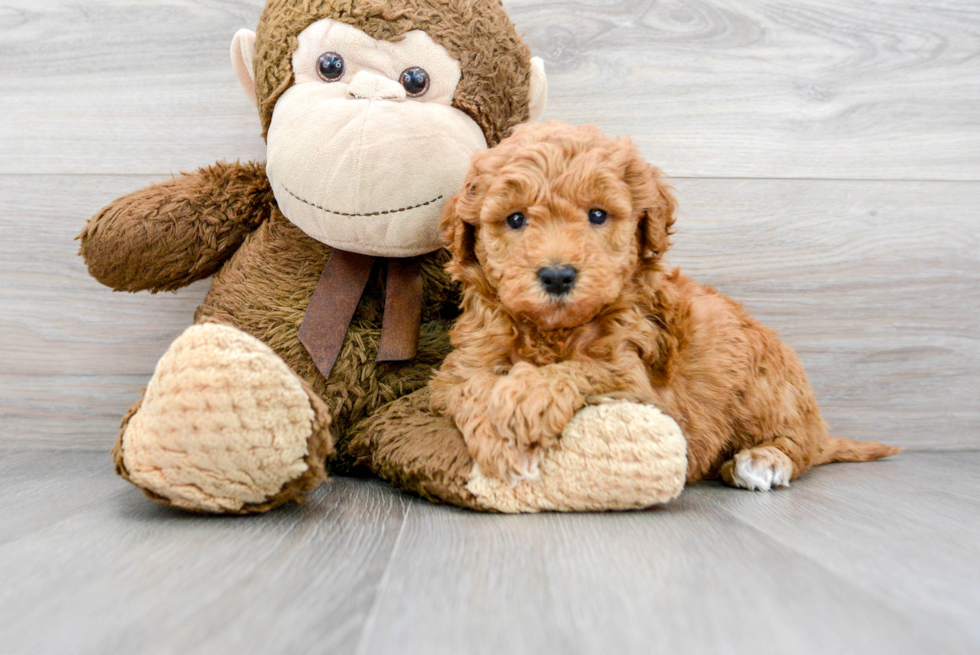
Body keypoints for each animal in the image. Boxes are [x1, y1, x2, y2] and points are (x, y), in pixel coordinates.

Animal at [432, 121, 900, 492]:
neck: (552, 330)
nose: (558, 276)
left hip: (767, 384)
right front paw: (502, 438)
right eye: (515, 219)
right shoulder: (460, 367)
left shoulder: (633, 377)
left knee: (800, 446)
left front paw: (521, 409)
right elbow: (471, 387)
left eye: (597, 215)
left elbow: (576, 369)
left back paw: (764, 460)